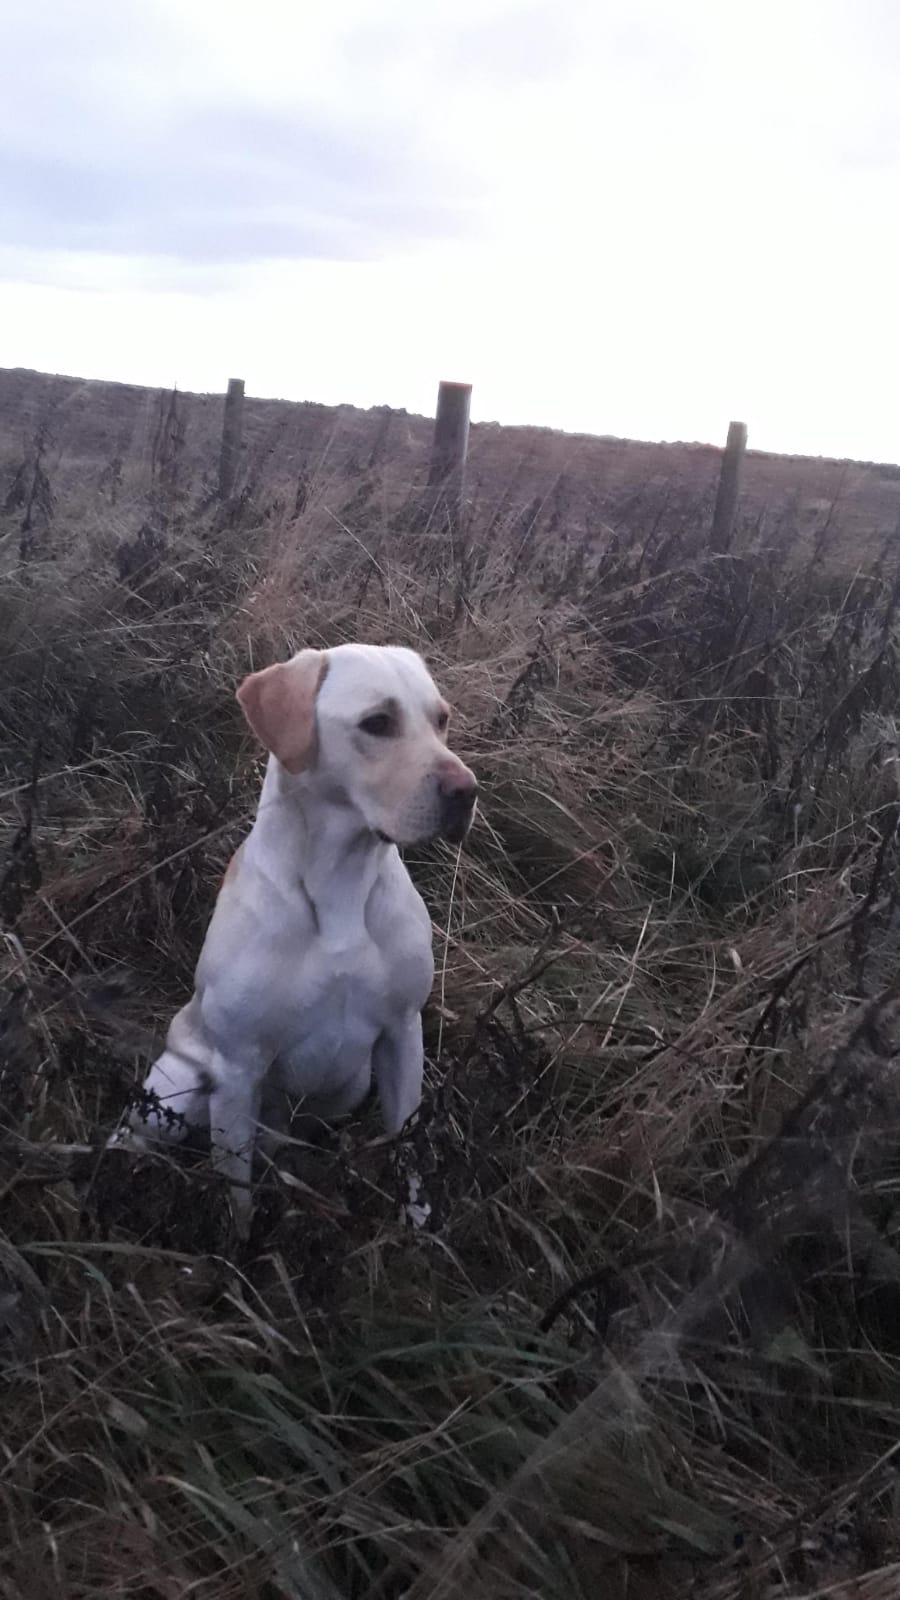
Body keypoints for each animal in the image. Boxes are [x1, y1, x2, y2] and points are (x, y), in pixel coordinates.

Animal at [113, 643, 477, 1228]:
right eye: (377, 722)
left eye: (441, 719)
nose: (468, 791)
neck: (338, 884)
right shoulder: (238, 1069)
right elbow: (236, 1194)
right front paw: (236, 1244)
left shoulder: (403, 1033)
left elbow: (407, 1143)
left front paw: (417, 1226)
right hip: (173, 1093)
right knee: (134, 1131)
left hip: (349, 1087)